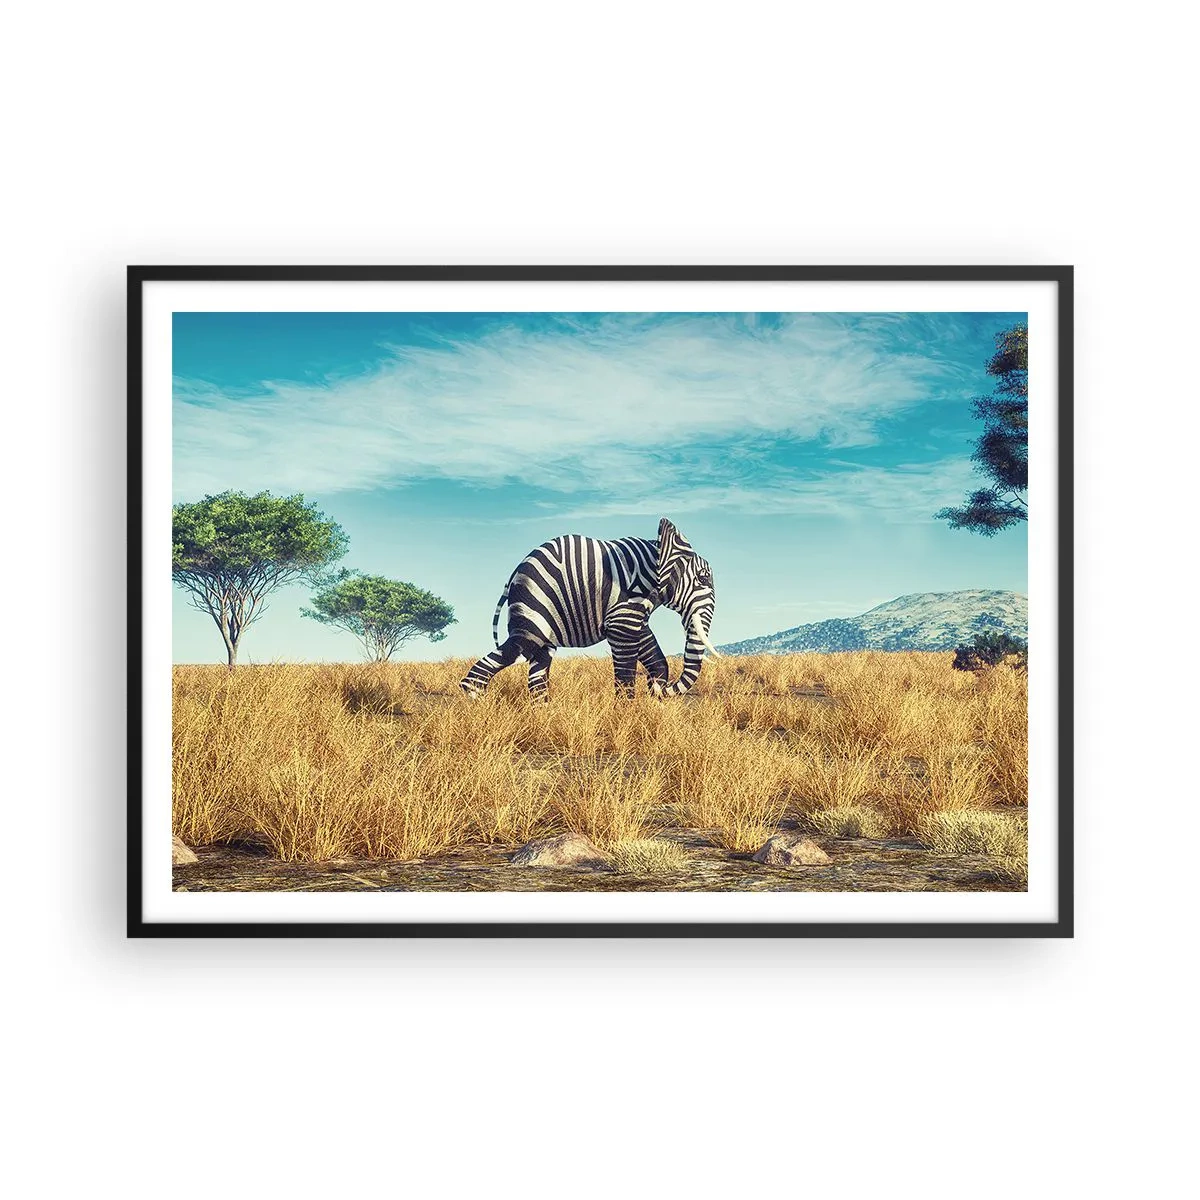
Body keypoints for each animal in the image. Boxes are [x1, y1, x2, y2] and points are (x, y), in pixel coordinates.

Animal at [460, 518, 720, 700]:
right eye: (703, 578)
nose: (659, 689)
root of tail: (513, 573)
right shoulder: (623, 608)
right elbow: (625, 670)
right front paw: (626, 718)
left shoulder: (635, 612)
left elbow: (655, 657)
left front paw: (654, 697)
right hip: (534, 606)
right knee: (517, 650)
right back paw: (478, 707)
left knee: (539, 669)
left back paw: (544, 719)